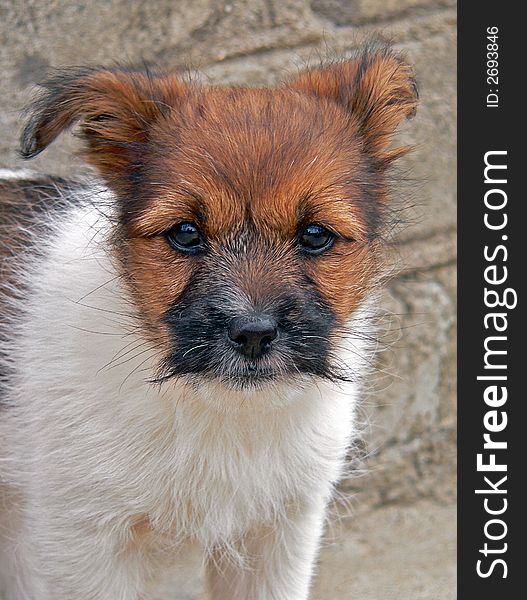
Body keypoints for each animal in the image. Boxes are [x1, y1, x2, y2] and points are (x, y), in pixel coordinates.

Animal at [1, 44, 416, 596]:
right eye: (184, 234)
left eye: (315, 235)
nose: (254, 335)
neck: (215, 405)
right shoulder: (82, 544)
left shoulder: (280, 535)